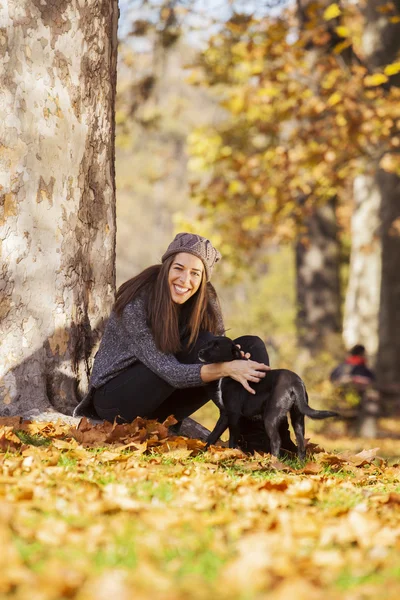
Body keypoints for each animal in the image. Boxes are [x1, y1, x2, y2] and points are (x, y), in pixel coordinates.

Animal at [198, 338, 338, 460]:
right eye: (208, 343)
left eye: (217, 346)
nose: (200, 352)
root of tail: (295, 381)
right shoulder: (225, 414)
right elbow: (213, 435)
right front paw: (202, 453)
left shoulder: (234, 414)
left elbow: (232, 439)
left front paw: (233, 454)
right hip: (298, 417)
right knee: (301, 443)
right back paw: (300, 464)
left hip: (270, 416)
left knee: (276, 441)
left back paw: (273, 462)